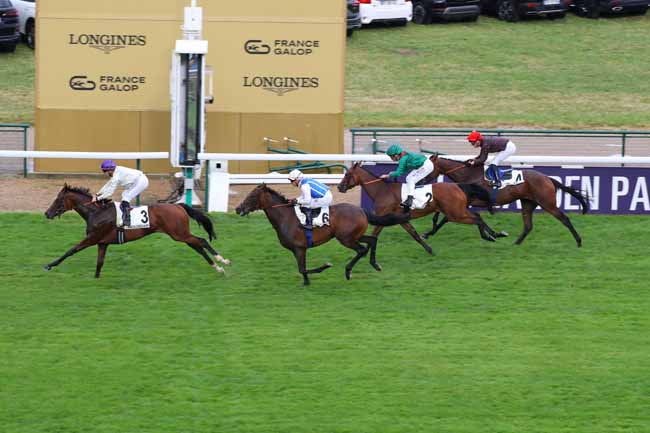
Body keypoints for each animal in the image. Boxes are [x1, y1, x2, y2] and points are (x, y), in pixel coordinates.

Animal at [43, 183, 230, 276]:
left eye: (58, 199)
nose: (47, 213)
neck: (96, 212)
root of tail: (179, 206)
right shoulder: (102, 242)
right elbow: (99, 263)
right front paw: (96, 279)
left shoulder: (92, 238)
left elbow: (71, 250)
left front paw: (50, 265)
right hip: (181, 234)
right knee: (197, 246)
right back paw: (217, 267)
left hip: (179, 234)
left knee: (202, 241)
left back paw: (223, 261)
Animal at [234, 184, 410, 286]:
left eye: (251, 196)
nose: (237, 209)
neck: (285, 216)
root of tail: (361, 210)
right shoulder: (297, 249)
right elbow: (302, 269)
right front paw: (306, 282)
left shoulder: (299, 248)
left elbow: (302, 269)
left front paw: (325, 266)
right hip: (353, 236)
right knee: (373, 240)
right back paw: (375, 264)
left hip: (346, 238)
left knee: (361, 249)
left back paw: (348, 271)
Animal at [334, 162, 506, 253]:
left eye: (347, 174)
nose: (340, 187)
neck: (382, 190)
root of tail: (458, 186)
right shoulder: (401, 219)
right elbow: (414, 234)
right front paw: (429, 249)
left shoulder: (383, 217)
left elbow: (374, 234)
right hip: (457, 211)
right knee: (477, 217)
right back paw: (493, 234)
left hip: (455, 213)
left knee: (476, 219)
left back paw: (491, 235)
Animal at [426, 154, 588, 246]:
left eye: (426, 168)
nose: (423, 180)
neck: (469, 176)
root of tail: (547, 178)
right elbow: (443, 216)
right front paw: (429, 232)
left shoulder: (467, 203)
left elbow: (447, 217)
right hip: (528, 203)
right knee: (528, 226)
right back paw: (515, 244)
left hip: (547, 203)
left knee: (564, 219)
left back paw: (579, 241)